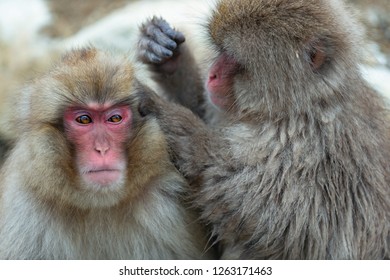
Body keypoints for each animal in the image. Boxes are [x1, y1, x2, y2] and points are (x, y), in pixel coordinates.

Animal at [137, 0, 390, 260]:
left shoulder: (310, 148)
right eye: (220, 50)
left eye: (232, 58)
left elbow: (279, 221)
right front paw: (166, 55)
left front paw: (165, 112)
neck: (294, 108)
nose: (212, 74)